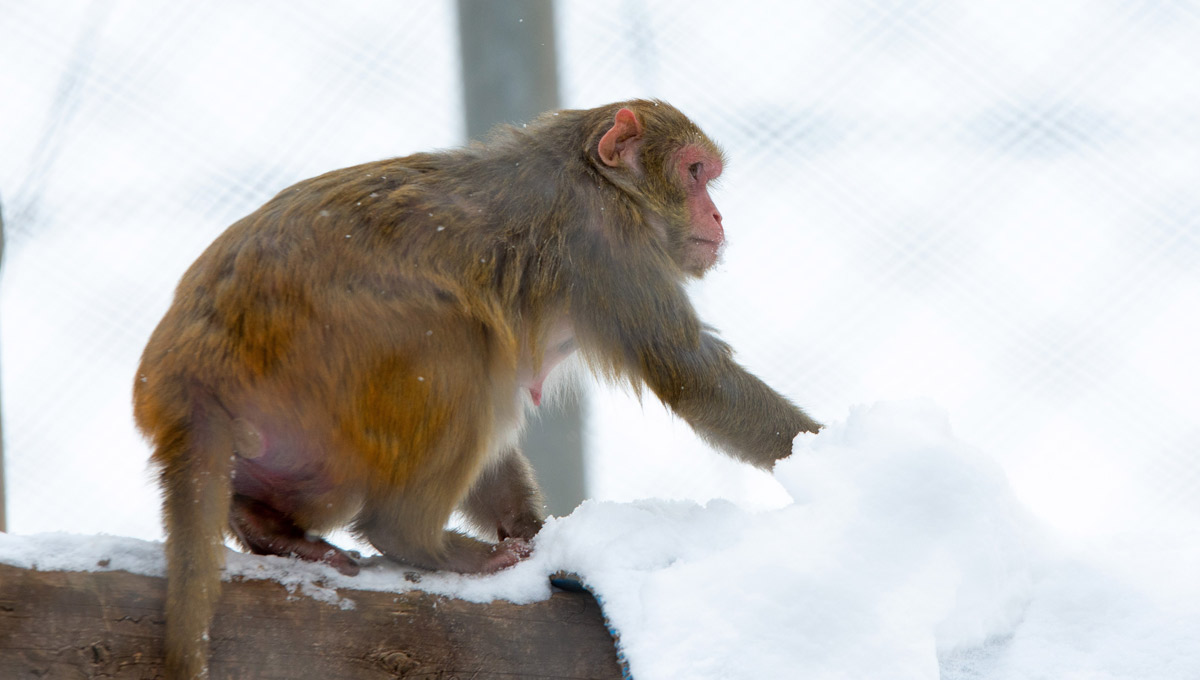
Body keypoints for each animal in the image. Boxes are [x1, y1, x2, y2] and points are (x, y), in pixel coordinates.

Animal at [133, 99, 821, 678]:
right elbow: (696, 379)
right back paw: (418, 541)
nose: (717, 215)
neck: (599, 178)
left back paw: (267, 526)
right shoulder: (606, 242)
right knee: (458, 341)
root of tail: (184, 372)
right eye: (694, 172)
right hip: (324, 372)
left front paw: (535, 532)